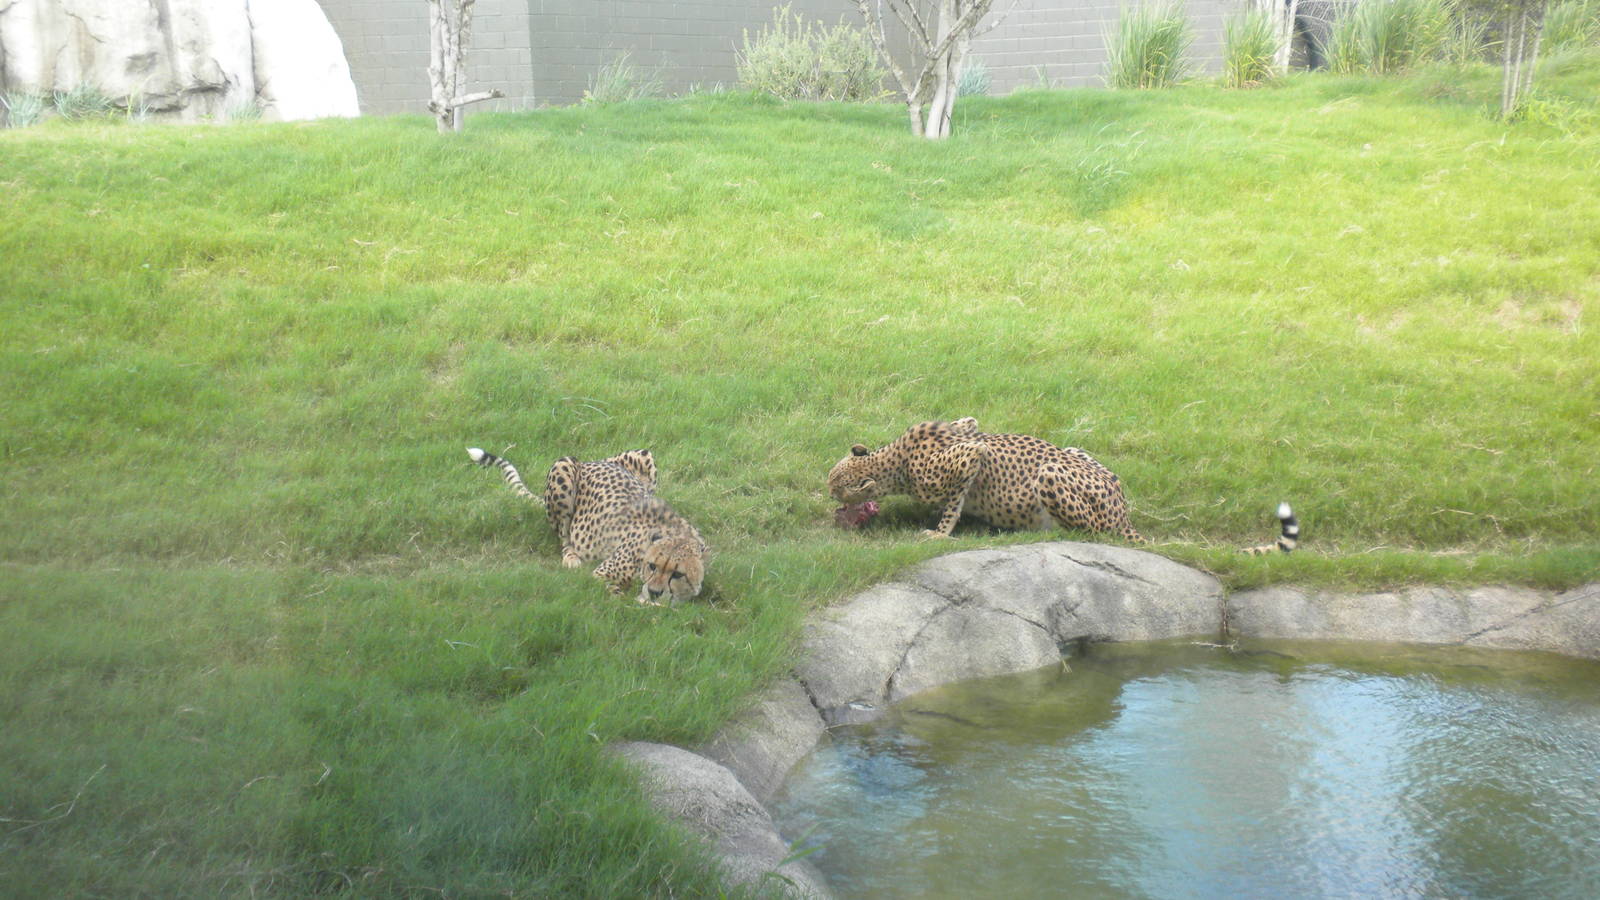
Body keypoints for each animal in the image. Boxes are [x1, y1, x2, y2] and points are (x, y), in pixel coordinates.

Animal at [467, 446, 708, 605]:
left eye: (677, 574)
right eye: (652, 565)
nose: (654, 591)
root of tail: (590, 461)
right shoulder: (601, 575)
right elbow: (619, 597)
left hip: (644, 455)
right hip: (563, 468)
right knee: (564, 536)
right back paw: (571, 558)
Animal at [827, 418, 1299, 553]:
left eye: (835, 486)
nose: (828, 497)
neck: (894, 460)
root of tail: (1123, 510)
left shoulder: (969, 455)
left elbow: (954, 501)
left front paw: (939, 532)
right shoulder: (968, 425)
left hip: (1052, 473)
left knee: (1095, 533)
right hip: (1076, 450)